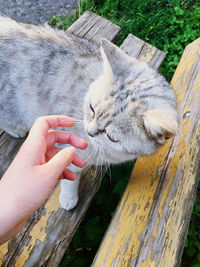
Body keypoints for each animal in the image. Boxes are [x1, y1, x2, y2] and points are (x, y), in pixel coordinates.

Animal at [0, 16, 178, 211]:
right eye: (92, 108)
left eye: (110, 136)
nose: (89, 132)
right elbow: (70, 179)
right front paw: (68, 197)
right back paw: (16, 129)